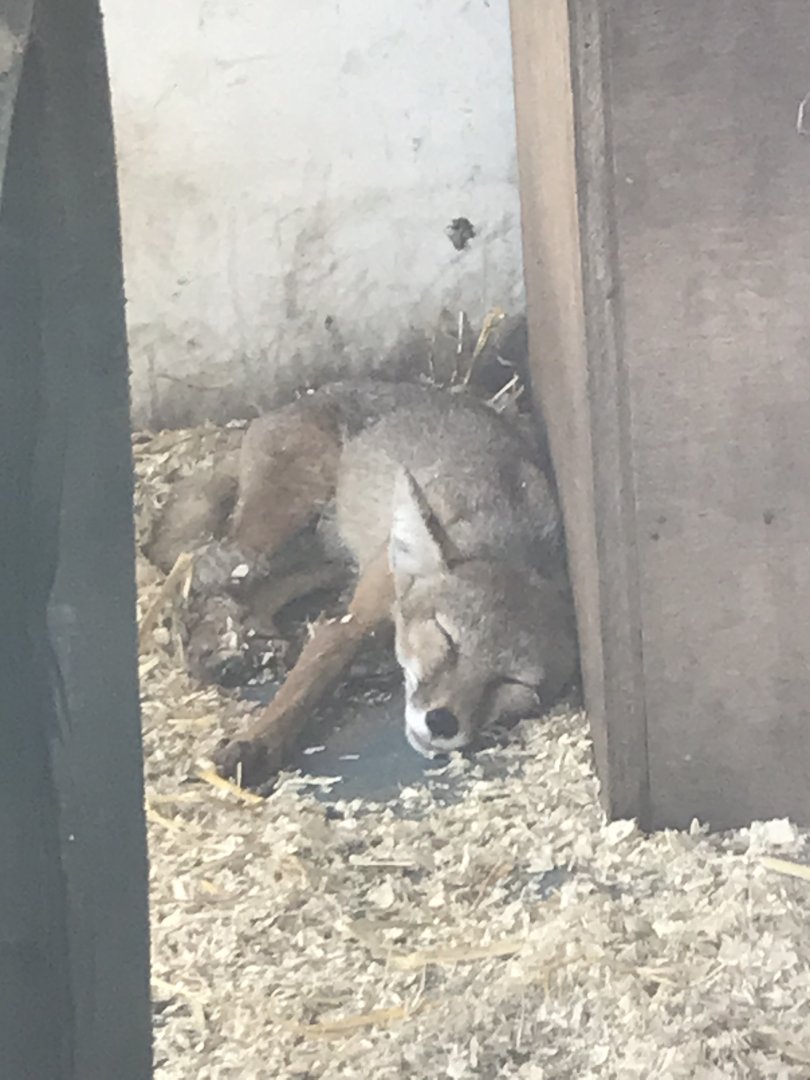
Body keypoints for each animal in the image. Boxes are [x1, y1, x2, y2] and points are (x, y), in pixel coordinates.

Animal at [147, 379, 579, 785]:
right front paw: (257, 742)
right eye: (447, 638)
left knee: (262, 589)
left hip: (334, 557)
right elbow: (308, 680)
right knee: (216, 574)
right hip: (280, 526)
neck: (512, 535)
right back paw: (218, 645)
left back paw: (255, 639)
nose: (442, 723)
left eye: (512, 682)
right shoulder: (351, 621)